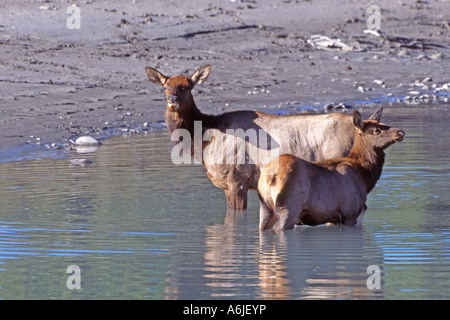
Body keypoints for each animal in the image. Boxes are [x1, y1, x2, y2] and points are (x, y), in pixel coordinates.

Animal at [256, 107, 404, 230]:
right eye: (376, 130)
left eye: (384, 124)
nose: (401, 132)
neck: (365, 177)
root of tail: (270, 177)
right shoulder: (350, 213)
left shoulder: (334, 217)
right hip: (288, 208)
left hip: (265, 208)